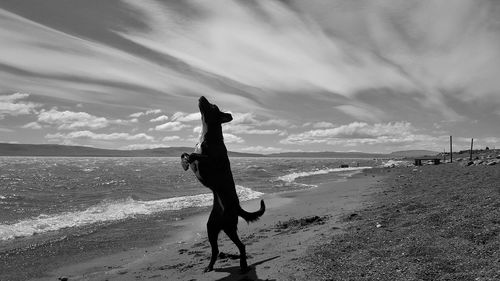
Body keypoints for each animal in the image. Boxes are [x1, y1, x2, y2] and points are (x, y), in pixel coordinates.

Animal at [181, 95, 266, 272]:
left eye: (213, 106)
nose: (202, 96)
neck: (207, 135)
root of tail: (237, 207)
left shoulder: (212, 161)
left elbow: (195, 155)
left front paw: (189, 159)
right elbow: (184, 153)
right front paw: (184, 162)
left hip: (229, 226)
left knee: (242, 246)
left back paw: (243, 266)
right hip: (211, 227)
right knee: (216, 249)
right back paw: (210, 266)